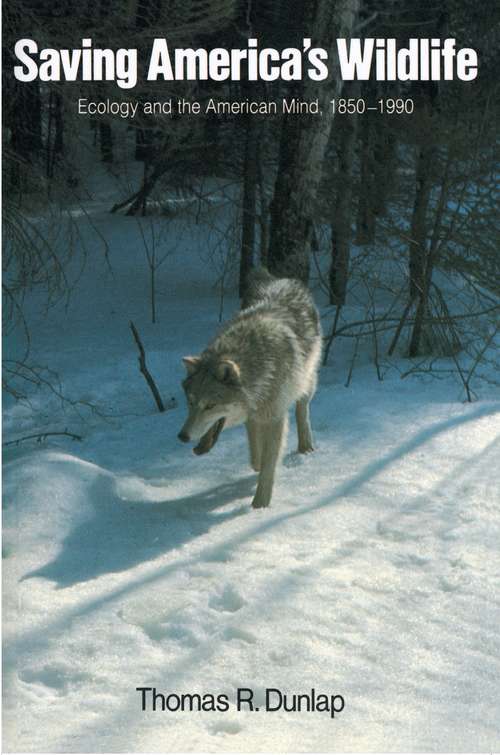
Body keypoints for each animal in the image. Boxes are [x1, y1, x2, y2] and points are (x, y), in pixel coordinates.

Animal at [178, 268, 322, 510]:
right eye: (190, 402)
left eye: (210, 406)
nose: (182, 436)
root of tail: (280, 278)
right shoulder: (254, 416)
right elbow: (257, 457)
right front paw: (258, 469)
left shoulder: (275, 417)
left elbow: (269, 464)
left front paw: (260, 506)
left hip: (307, 380)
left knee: (303, 408)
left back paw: (306, 447)